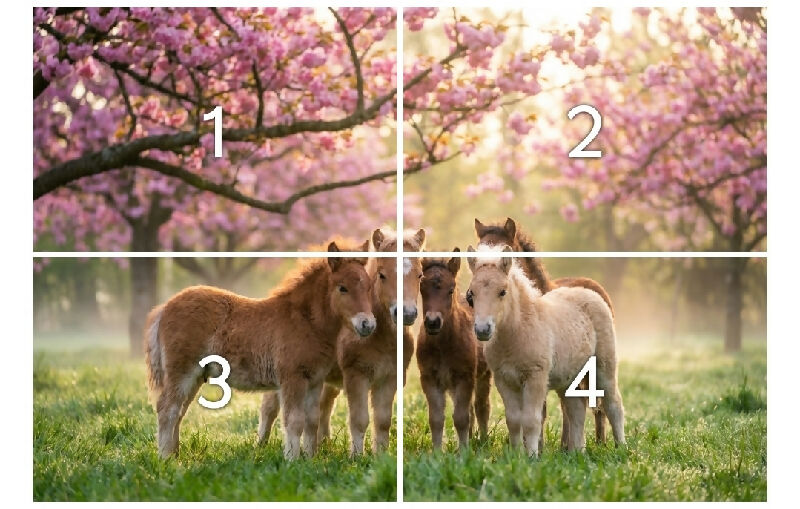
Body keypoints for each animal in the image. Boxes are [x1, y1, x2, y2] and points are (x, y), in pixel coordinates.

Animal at [144, 240, 375, 460]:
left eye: (369, 287)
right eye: (342, 288)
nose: (368, 325)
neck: (305, 321)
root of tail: (164, 307)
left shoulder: (315, 381)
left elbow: (311, 422)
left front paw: (311, 459)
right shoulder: (292, 378)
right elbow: (294, 421)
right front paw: (292, 460)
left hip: (196, 376)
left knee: (179, 411)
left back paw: (174, 453)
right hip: (182, 371)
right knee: (167, 409)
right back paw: (166, 458)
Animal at [416, 249, 492, 451]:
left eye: (450, 289)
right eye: (422, 288)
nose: (433, 322)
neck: (443, 346)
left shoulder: (464, 377)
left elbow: (461, 418)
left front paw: (464, 452)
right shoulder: (430, 378)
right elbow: (436, 419)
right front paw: (436, 452)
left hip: (483, 376)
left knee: (481, 407)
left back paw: (482, 441)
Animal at [465, 245, 625, 456]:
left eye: (502, 291)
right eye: (471, 294)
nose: (483, 330)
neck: (516, 333)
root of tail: (590, 293)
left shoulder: (535, 377)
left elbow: (531, 420)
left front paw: (532, 456)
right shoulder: (504, 380)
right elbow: (513, 420)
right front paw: (515, 456)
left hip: (603, 365)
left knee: (613, 403)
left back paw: (622, 447)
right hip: (569, 376)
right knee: (576, 408)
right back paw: (577, 452)